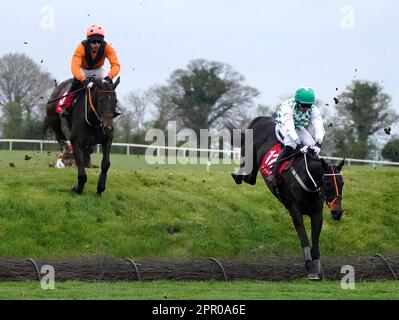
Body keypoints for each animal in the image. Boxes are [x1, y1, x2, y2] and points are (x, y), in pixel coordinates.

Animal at [233, 117, 346, 280]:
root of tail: (260, 119)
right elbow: (304, 238)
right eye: (327, 183)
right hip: (249, 155)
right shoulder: (295, 211)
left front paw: (317, 266)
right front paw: (310, 267)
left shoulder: (316, 214)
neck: (306, 178)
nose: (337, 212)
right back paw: (237, 176)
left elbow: (315, 240)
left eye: (342, 183)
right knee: (247, 171)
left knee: (250, 178)